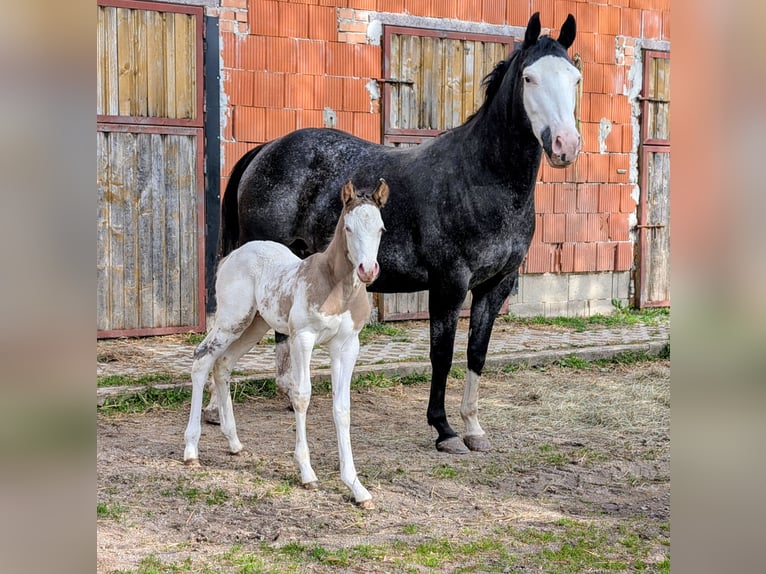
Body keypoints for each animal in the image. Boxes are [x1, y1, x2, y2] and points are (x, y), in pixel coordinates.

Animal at [184, 179, 389, 508]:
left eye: (381, 228)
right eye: (348, 227)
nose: (367, 270)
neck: (335, 285)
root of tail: (231, 256)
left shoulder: (347, 346)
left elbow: (342, 408)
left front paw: (356, 487)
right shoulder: (302, 338)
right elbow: (301, 396)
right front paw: (307, 473)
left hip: (254, 325)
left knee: (224, 365)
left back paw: (234, 442)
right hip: (232, 319)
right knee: (202, 359)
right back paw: (191, 451)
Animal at [215, 12, 581, 455]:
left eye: (575, 77)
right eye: (529, 77)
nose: (565, 145)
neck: (481, 178)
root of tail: (266, 149)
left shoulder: (495, 286)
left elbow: (476, 354)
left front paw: (474, 428)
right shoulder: (449, 285)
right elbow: (442, 355)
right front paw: (445, 430)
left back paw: (287, 396)